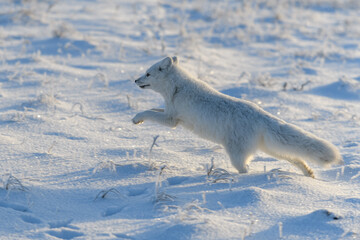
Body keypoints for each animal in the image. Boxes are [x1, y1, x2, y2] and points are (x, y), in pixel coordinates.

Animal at [133, 55, 344, 176]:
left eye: (148, 74)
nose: (135, 80)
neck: (177, 89)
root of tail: (261, 116)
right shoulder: (169, 113)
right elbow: (153, 109)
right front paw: (138, 119)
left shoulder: (172, 120)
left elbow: (149, 111)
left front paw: (136, 118)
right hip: (272, 149)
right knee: (296, 158)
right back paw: (309, 174)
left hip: (237, 155)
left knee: (245, 170)